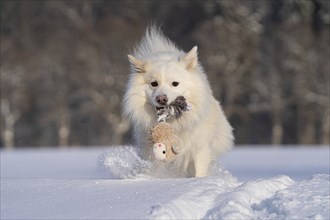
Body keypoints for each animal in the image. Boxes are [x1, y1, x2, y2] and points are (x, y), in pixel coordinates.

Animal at [122, 27, 233, 177]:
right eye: (154, 83)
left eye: (175, 83)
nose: (161, 98)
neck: (172, 124)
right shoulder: (150, 151)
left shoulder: (199, 148)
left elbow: (199, 170)